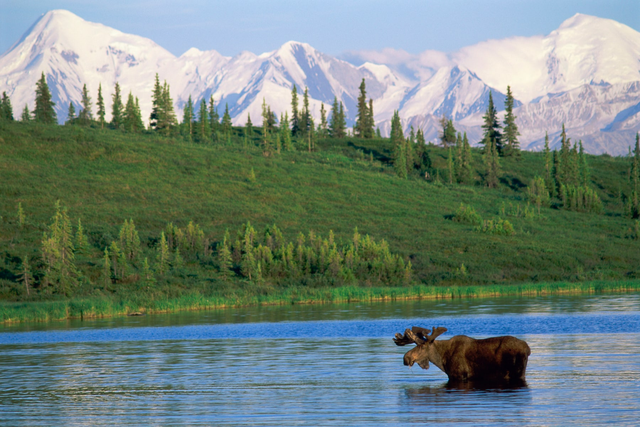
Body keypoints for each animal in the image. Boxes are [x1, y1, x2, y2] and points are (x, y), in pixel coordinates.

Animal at [392, 326, 532, 382]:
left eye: (421, 346)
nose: (406, 358)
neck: (442, 359)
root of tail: (527, 348)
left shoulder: (458, 376)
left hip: (518, 372)